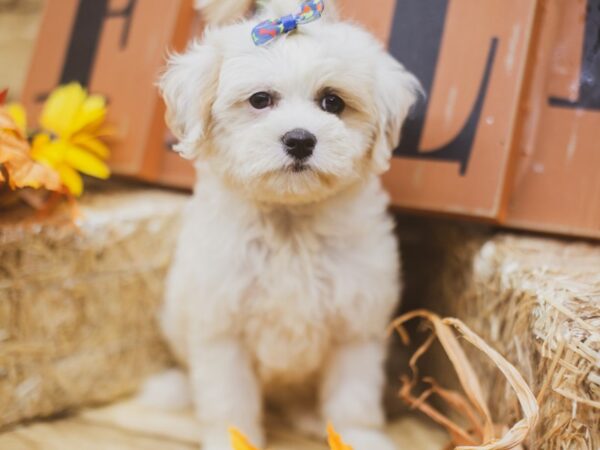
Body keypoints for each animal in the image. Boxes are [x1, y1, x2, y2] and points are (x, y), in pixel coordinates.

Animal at [159, 1, 420, 448]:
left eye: (332, 102)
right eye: (260, 99)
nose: (300, 139)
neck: (289, 219)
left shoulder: (356, 321)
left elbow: (353, 395)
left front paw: (358, 436)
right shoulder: (221, 325)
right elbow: (228, 399)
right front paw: (233, 439)